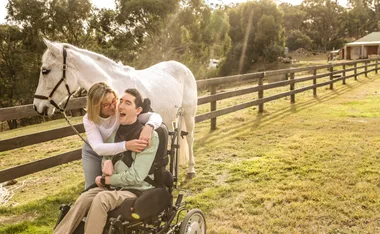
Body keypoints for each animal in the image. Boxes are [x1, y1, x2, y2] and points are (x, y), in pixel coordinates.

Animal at [32, 38, 197, 177]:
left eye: (45, 70)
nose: (37, 106)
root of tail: (183, 67)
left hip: (189, 114)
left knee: (189, 138)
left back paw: (191, 170)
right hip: (169, 118)